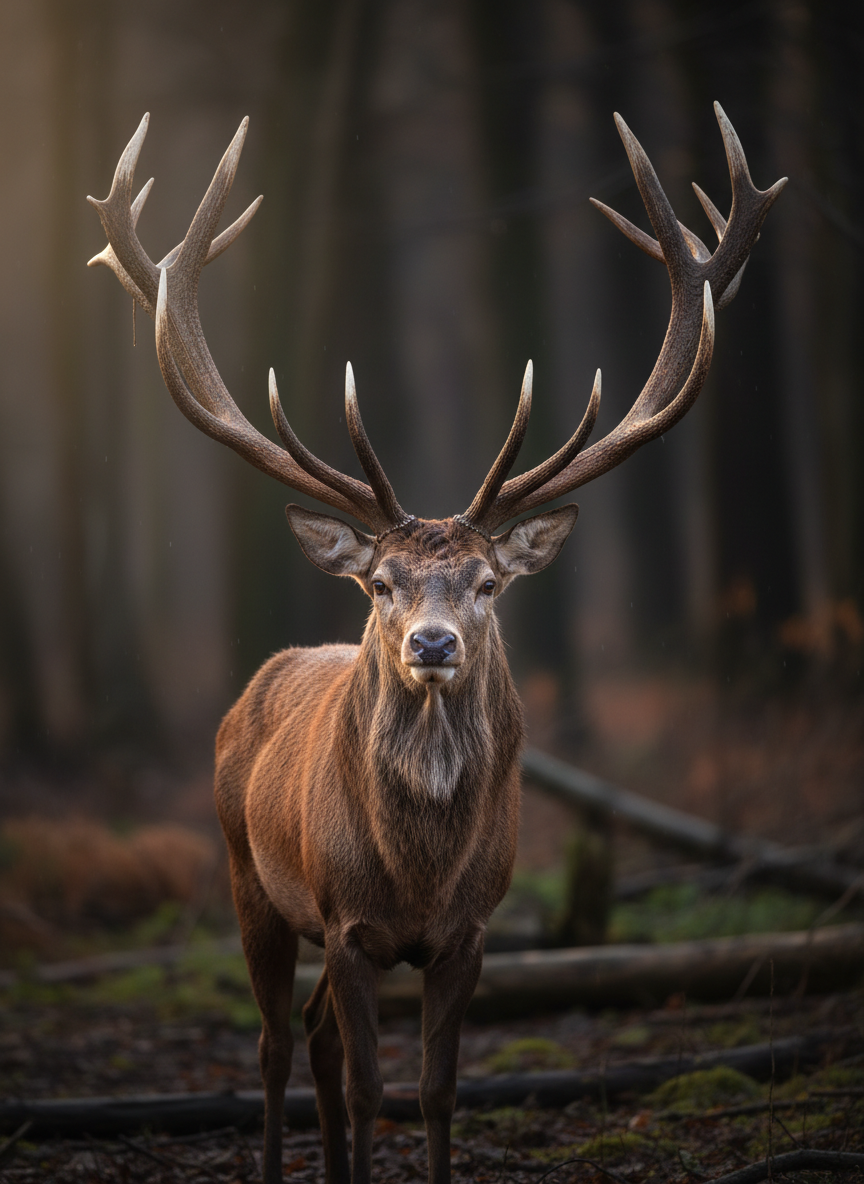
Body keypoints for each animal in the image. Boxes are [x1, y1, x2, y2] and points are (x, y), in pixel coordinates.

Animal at [88, 103, 784, 1184]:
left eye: (489, 584)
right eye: (380, 582)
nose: (431, 643)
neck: (416, 873)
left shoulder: (470, 932)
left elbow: (437, 1089)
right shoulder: (345, 922)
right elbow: (373, 1088)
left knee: (315, 1037)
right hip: (247, 874)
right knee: (276, 1042)